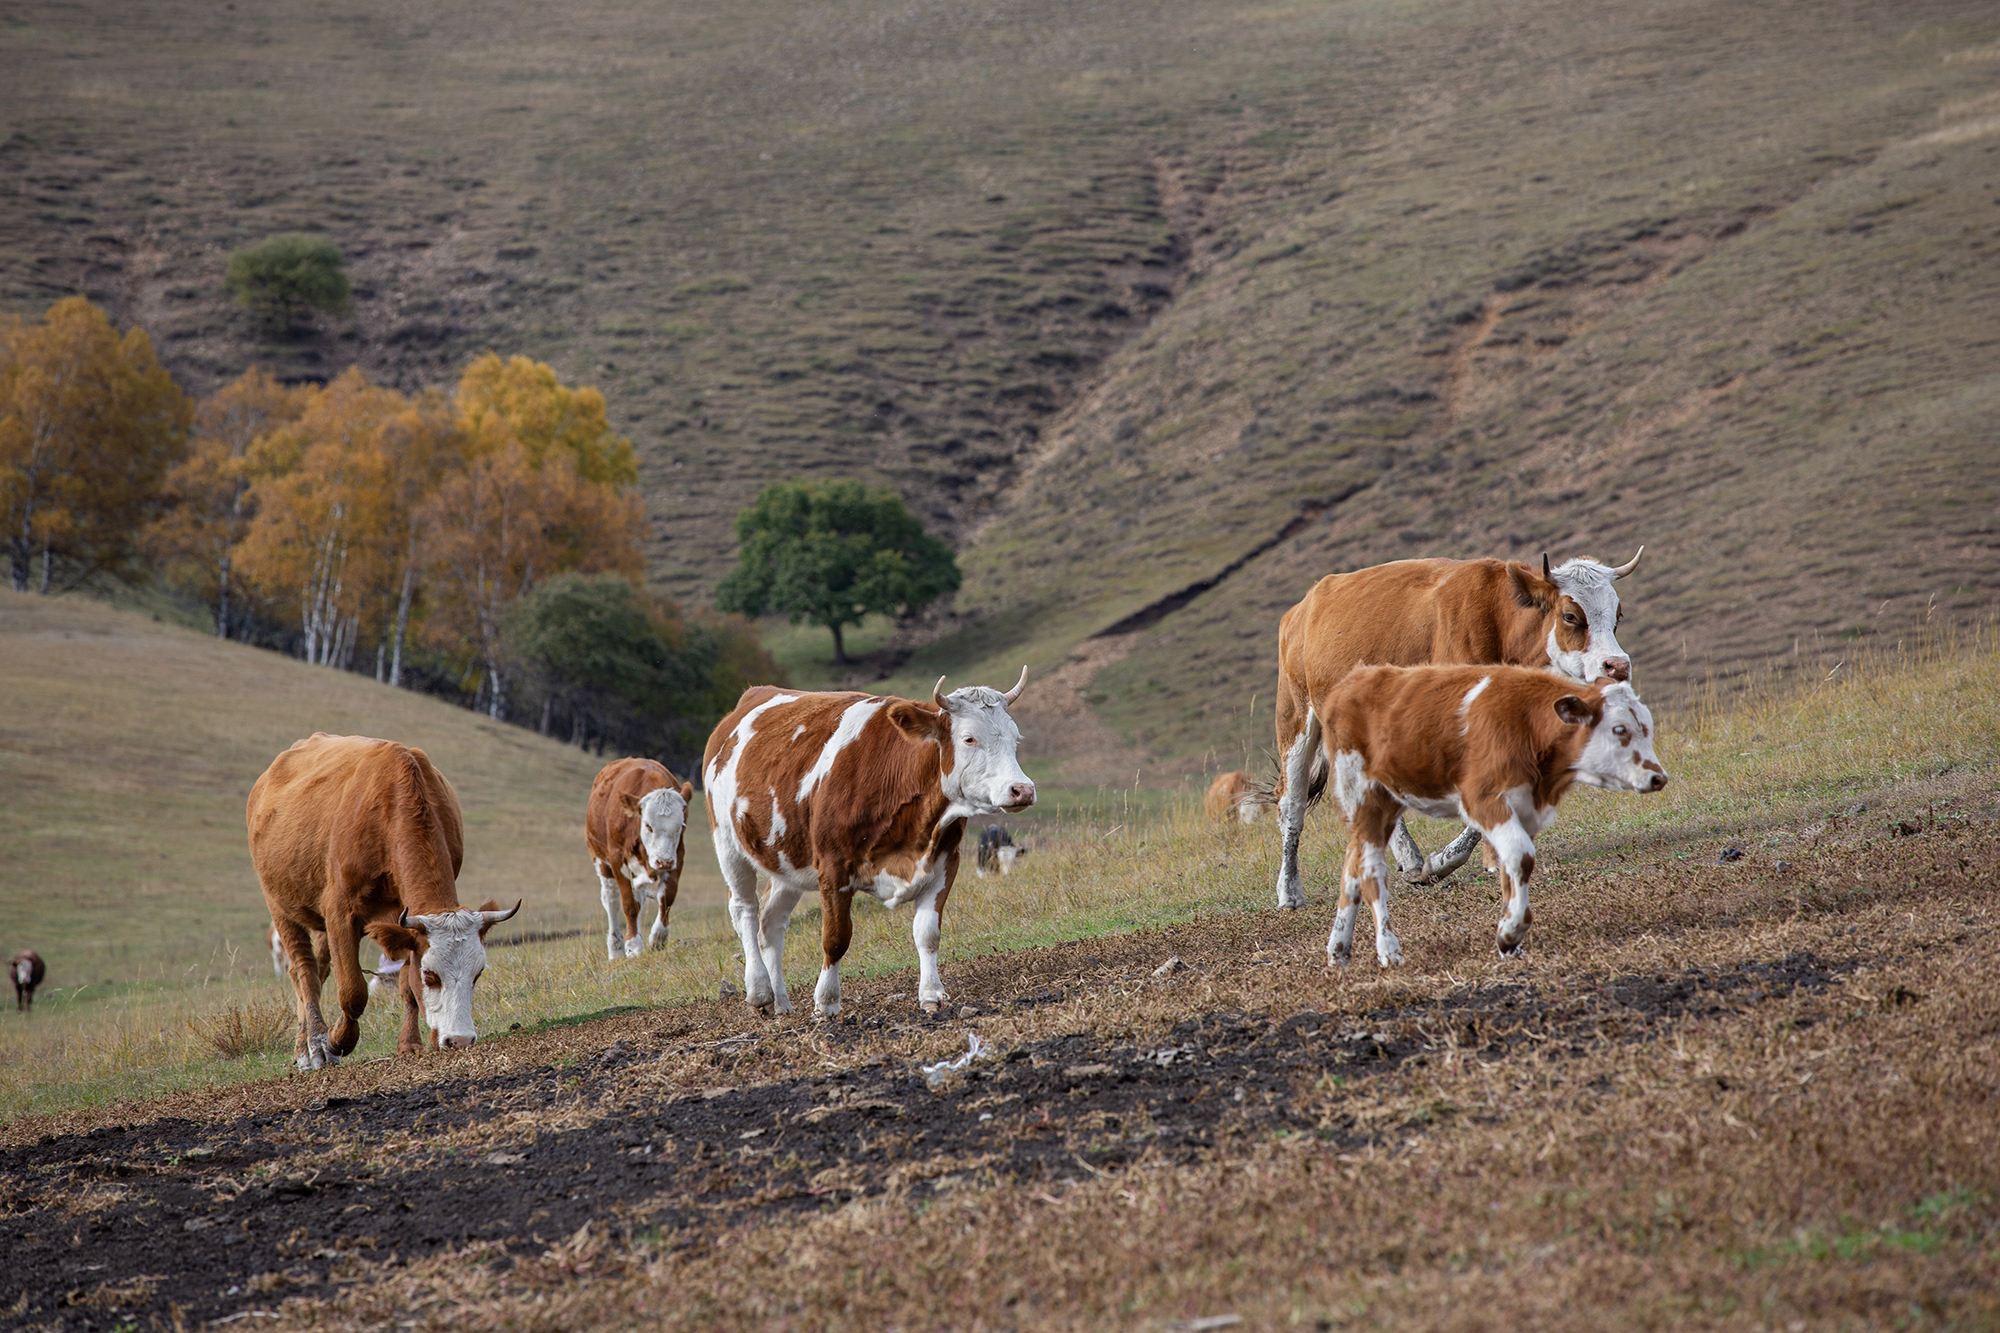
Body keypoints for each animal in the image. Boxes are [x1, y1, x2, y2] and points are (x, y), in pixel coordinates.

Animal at [247, 733, 519, 1069]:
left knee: (319, 970)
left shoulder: (403, 924)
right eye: (430, 974)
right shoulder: (339, 912)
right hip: (281, 907)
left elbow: (405, 984)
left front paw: (409, 1043)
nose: (459, 1041)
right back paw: (310, 1049)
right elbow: (353, 991)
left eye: (478, 973)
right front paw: (338, 1039)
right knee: (303, 972)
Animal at [585, 758, 695, 960]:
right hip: (601, 860)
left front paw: (658, 938)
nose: (663, 862)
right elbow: (629, 904)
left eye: (680, 825)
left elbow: (667, 896)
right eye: (648, 825)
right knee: (611, 900)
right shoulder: (616, 859)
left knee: (640, 897)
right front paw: (633, 945)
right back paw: (616, 949)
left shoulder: (678, 855)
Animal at [703, 671, 1035, 1018]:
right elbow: (835, 937)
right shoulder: (833, 866)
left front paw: (931, 994)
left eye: (1016, 738)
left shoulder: (945, 859)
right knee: (745, 911)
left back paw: (781, 1002)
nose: (1022, 789)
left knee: (771, 922)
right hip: (727, 843)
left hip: (787, 859)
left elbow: (928, 933)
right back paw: (760, 990)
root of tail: (751, 696)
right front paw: (826, 1002)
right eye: (969, 738)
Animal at [1274, 547, 1643, 899]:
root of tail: (1303, 606)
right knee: (1291, 803)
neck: (1499, 622)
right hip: (1296, 720)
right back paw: (1289, 891)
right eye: (1570, 616)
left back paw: (1409, 860)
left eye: (1617, 615)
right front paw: (1445, 862)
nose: (1618, 666)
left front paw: (1488, 859)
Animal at [1287, 664, 1666, 966]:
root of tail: (1355, 678)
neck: (1527, 723)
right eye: (1619, 729)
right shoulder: (1483, 799)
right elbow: (1521, 855)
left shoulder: (1526, 809)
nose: (1658, 777)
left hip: (1387, 803)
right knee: (1370, 871)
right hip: (1363, 795)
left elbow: (1511, 866)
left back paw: (1339, 948)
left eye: (1647, 726)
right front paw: (1511, 932)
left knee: (1352, 863)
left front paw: (1510, 942)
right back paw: (1388, 948)